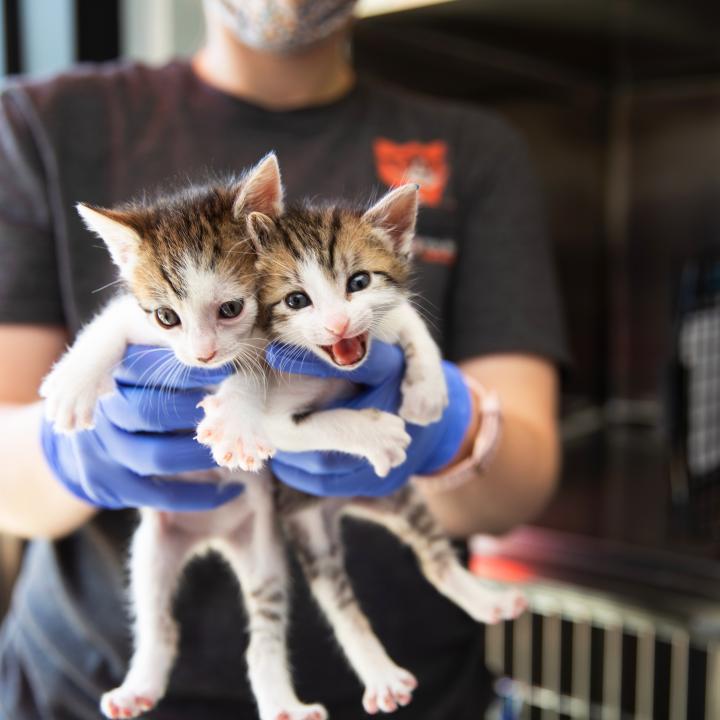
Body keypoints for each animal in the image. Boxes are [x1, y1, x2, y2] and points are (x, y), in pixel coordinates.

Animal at [198, 177, 528, 712]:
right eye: (296, 300)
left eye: (358, 282)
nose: (338, 326)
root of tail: (345, 505)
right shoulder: (274, 408)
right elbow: (310, 426)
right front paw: (375, 434)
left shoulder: (384, 322)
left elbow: (406, 318)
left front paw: (429, 390)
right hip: (307, 527)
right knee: (340, 605)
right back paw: (382, 675)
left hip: (400, 496)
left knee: (434, 558)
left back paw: (485, 599)